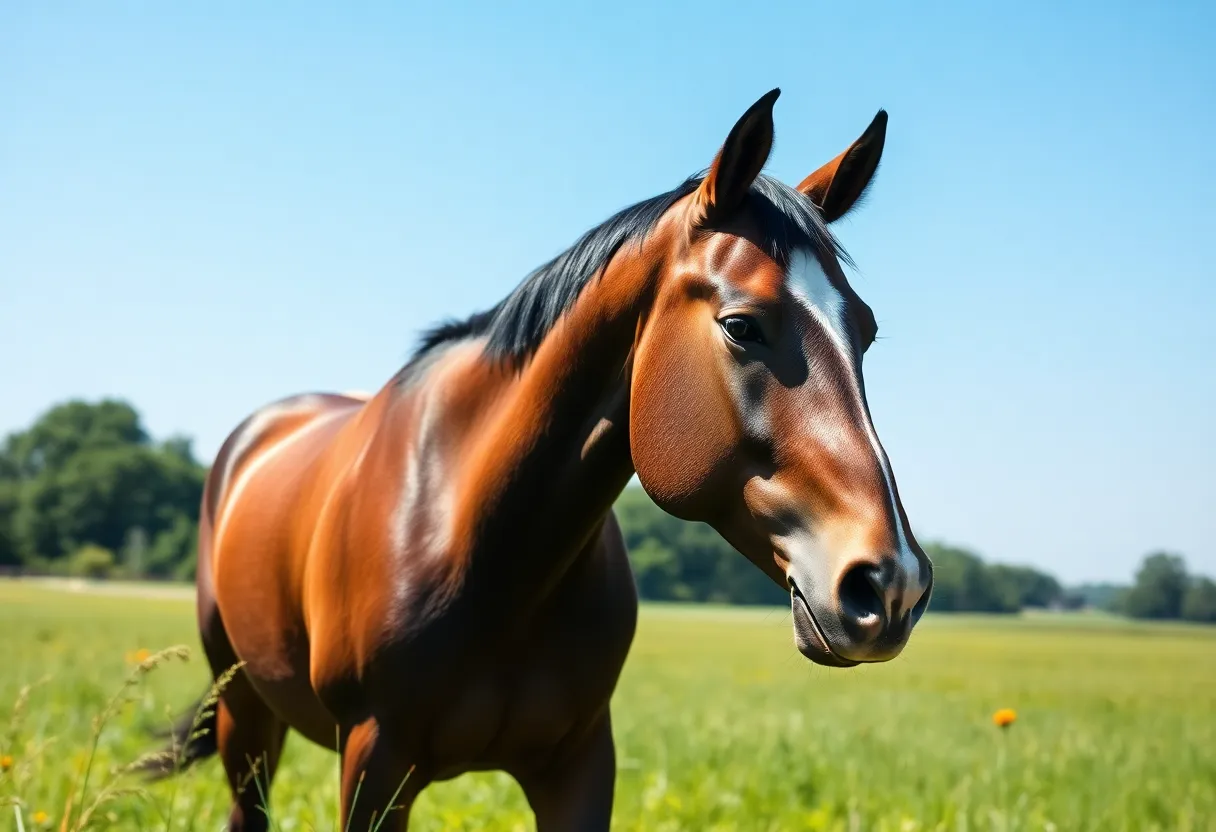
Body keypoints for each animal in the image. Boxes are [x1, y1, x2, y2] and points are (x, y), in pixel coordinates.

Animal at [149, 88, 934, 830]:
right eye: (742, 326)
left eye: (864, 332)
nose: (890, 584)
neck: (480, 545)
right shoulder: (373, 764)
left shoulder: (579, 765)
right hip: (245, 714)